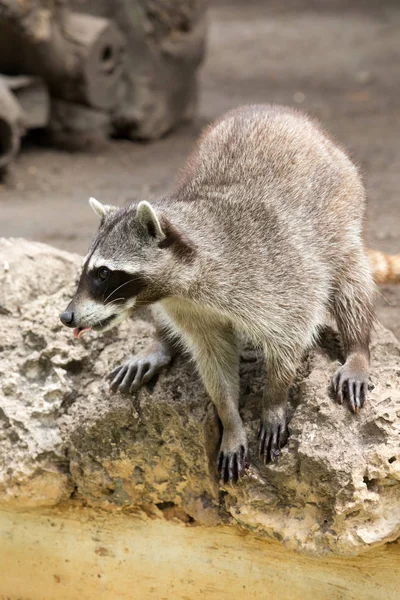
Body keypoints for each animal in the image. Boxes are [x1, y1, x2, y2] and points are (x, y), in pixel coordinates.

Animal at [59, 105, 376, 486]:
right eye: (86, 269)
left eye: (104, 274)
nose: (66, 317)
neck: (181, 287)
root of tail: (275, 110)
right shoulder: (187, 309)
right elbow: (213, 361)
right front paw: (230, 420)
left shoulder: (279, 278)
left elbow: (289, 338)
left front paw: (273, 401)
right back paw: (160, 342)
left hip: (342, 207)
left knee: (350, 281)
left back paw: (357, 347)